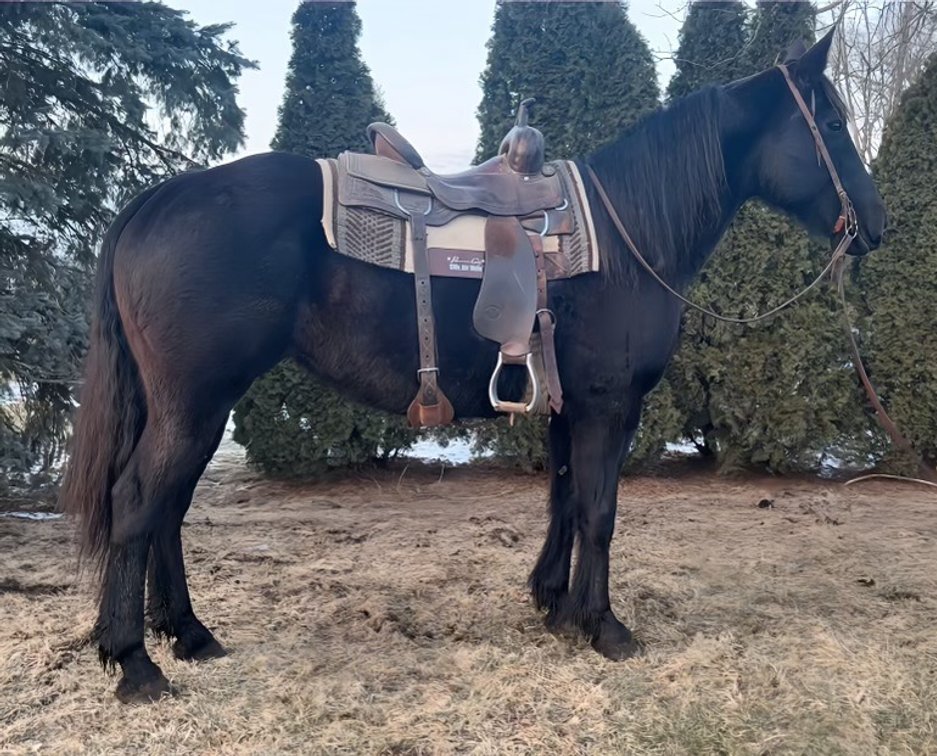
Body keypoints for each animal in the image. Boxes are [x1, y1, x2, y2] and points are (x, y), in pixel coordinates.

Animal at [60, 32, 886, 703]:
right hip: (194, 402)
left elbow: (563, 500)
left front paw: (554, 603)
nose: (876, 225)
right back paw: (135, 662)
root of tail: (157, 199)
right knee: (140, 502)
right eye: (832, 125)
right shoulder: (608, 403)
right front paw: (603, 625)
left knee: (168, 510)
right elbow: (599, 510)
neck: (625, 233)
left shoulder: (567, 404)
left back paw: (189, 635)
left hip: (193, 405)